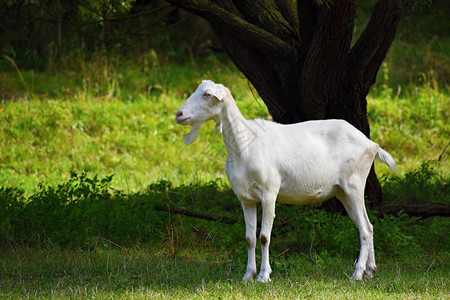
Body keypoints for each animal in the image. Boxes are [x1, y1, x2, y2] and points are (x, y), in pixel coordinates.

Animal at [174, 79, 396, 282]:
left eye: (207, 95)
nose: (179, 114)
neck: (246, 143)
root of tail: (372, 144)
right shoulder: (246, 198)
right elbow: (249, 238)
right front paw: (247, 276)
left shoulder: (269, 193)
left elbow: (264, 237)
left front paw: (264, 276)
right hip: (342, 192)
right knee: (367, 226)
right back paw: (370, 271)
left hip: (354, 185)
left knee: (365, 229)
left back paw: (357, 274)